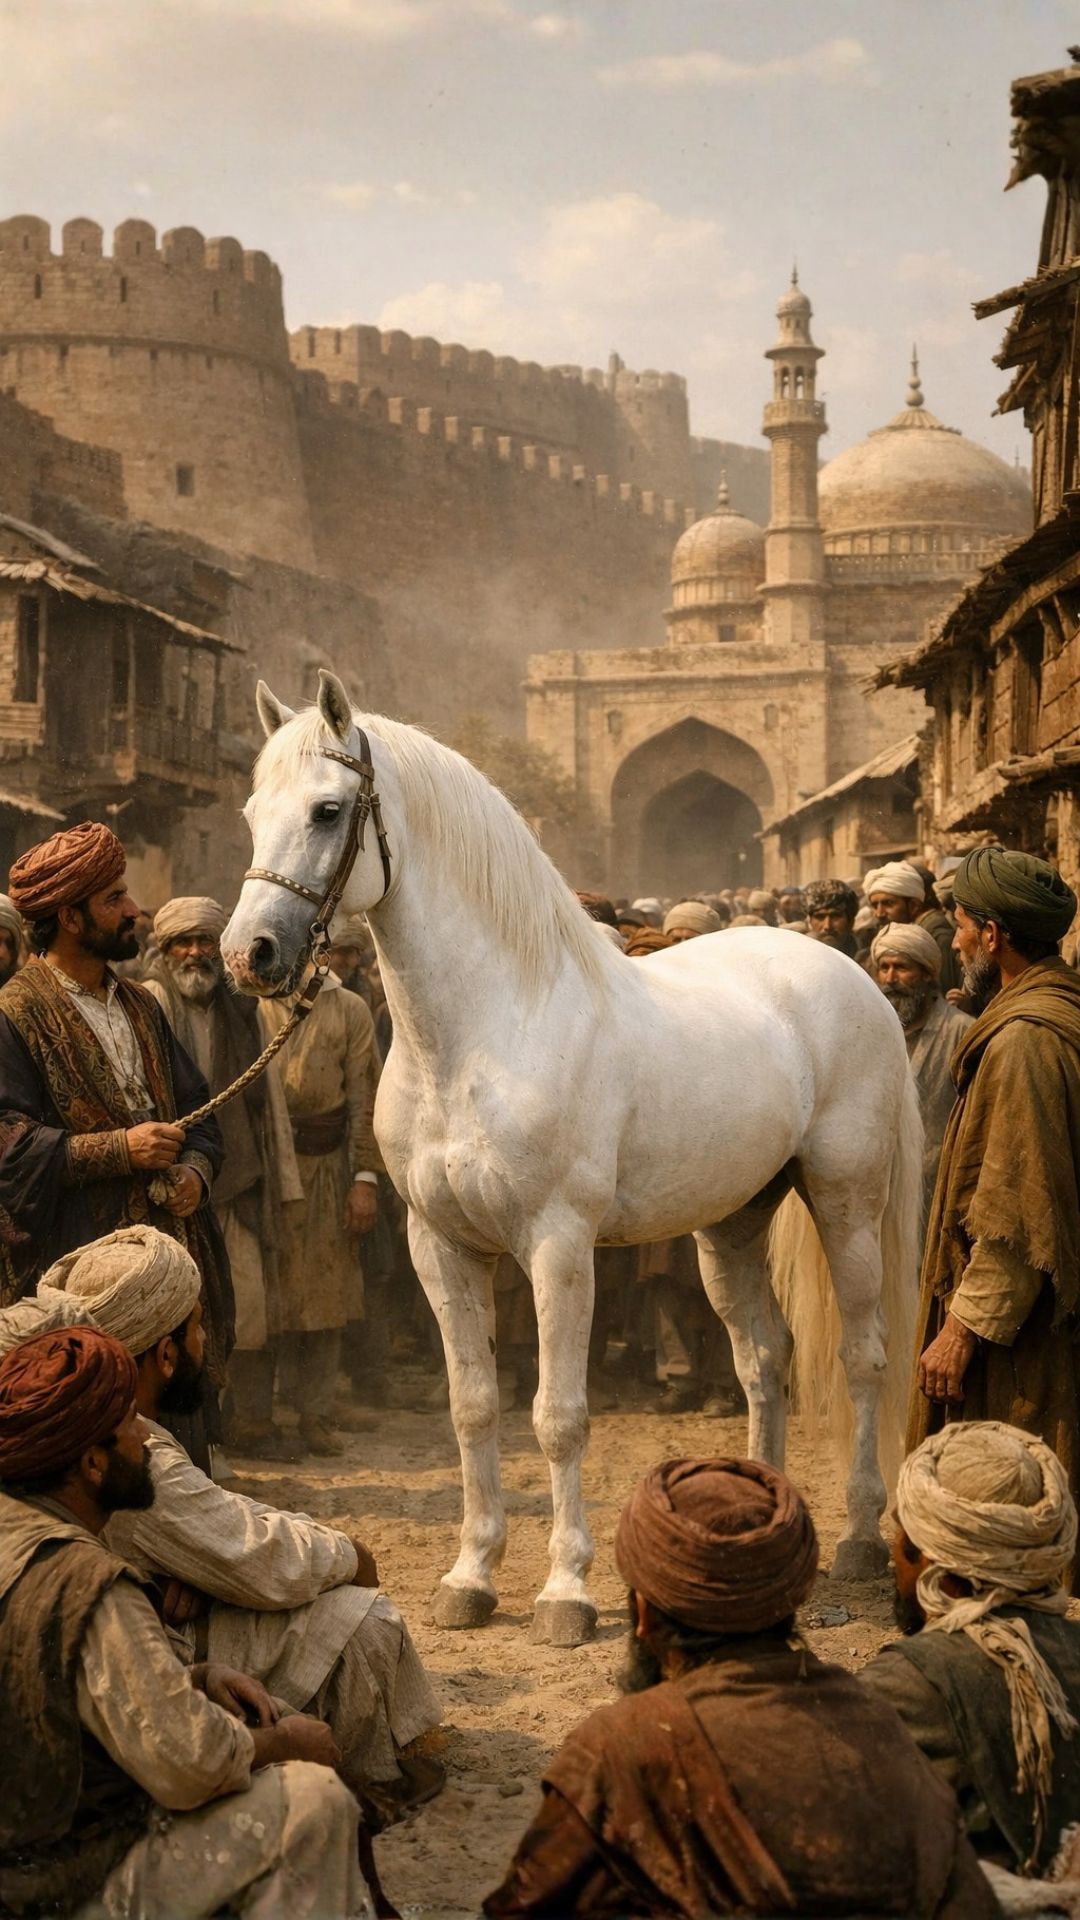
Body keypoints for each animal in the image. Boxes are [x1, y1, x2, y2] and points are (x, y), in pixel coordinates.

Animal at [223, 669, 922, 1648]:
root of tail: (850, 974)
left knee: (863, 1356)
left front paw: (566, 1594)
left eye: (327, 810)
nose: (248, 955)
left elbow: (557, 1417)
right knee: (763, 1361)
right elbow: (473, 1406)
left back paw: (859, 1538)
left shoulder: (558, 1247)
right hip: (732, 1222)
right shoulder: (439, 1246)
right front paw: (470, 1578)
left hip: (846, 1201)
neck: (488, 1029)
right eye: (253, 811)